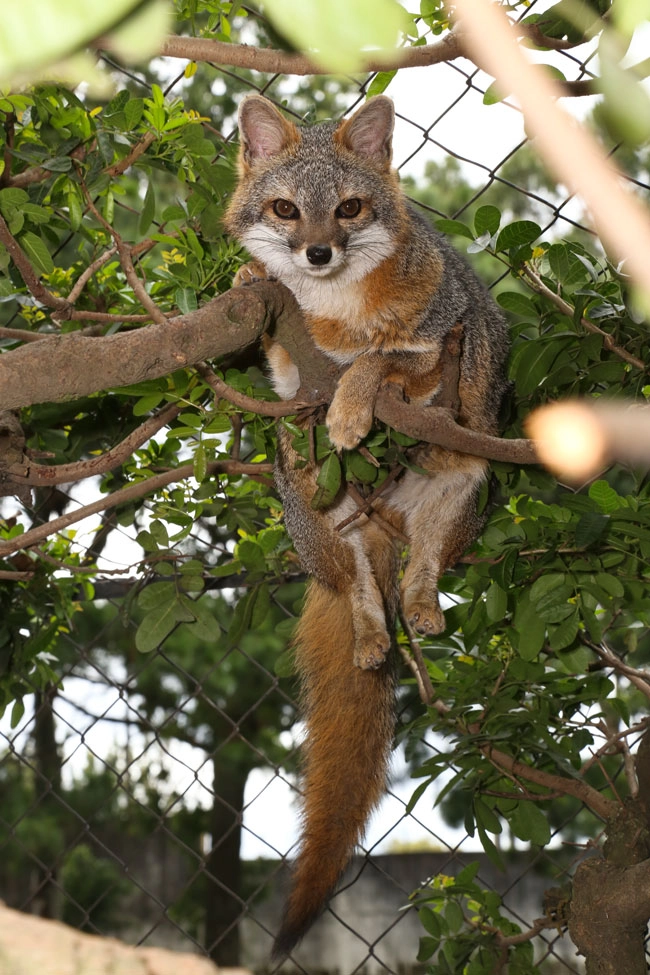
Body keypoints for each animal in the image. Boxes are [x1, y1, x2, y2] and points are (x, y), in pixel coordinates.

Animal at [224, 93, 509, 959]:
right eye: (286, 210)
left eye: (349, 209)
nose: (316, 253)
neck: (332, 312)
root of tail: (381, 517)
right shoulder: (288, 378)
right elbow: (295, 368)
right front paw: (253, 277)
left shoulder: (434, 357)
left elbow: (381, 359)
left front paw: (353, 405)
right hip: (314, 506)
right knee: (356, 583)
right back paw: (373, 632)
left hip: (468, 477)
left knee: (419, 569)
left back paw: (419, 604)